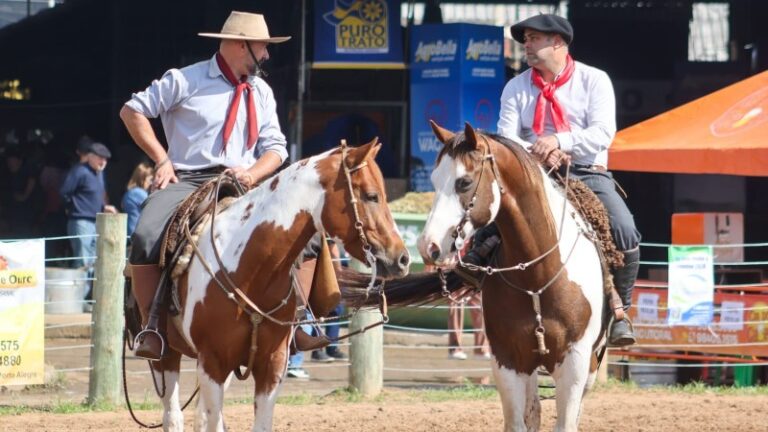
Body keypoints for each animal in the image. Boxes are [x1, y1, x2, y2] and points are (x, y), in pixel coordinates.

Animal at [148, 139, 409, 432]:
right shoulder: (213, 361)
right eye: (371, 196)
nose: (402, 258)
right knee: (173, 415)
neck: (250, 272)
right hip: (166, 356)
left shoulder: (271, 364)